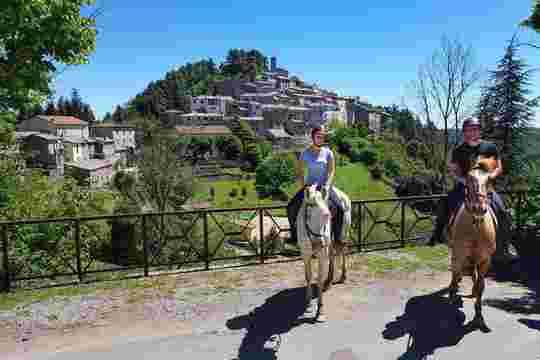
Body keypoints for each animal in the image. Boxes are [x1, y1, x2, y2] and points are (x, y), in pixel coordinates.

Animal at [448, 159, 498, 334]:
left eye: (489, 181)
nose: (478, 208)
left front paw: (479, 318)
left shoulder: (485, 260)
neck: (475, 226)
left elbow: (481, 286)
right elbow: (455, 278)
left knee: (474, 277)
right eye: (468, 181)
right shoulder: (458, 256)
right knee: (456, 274)